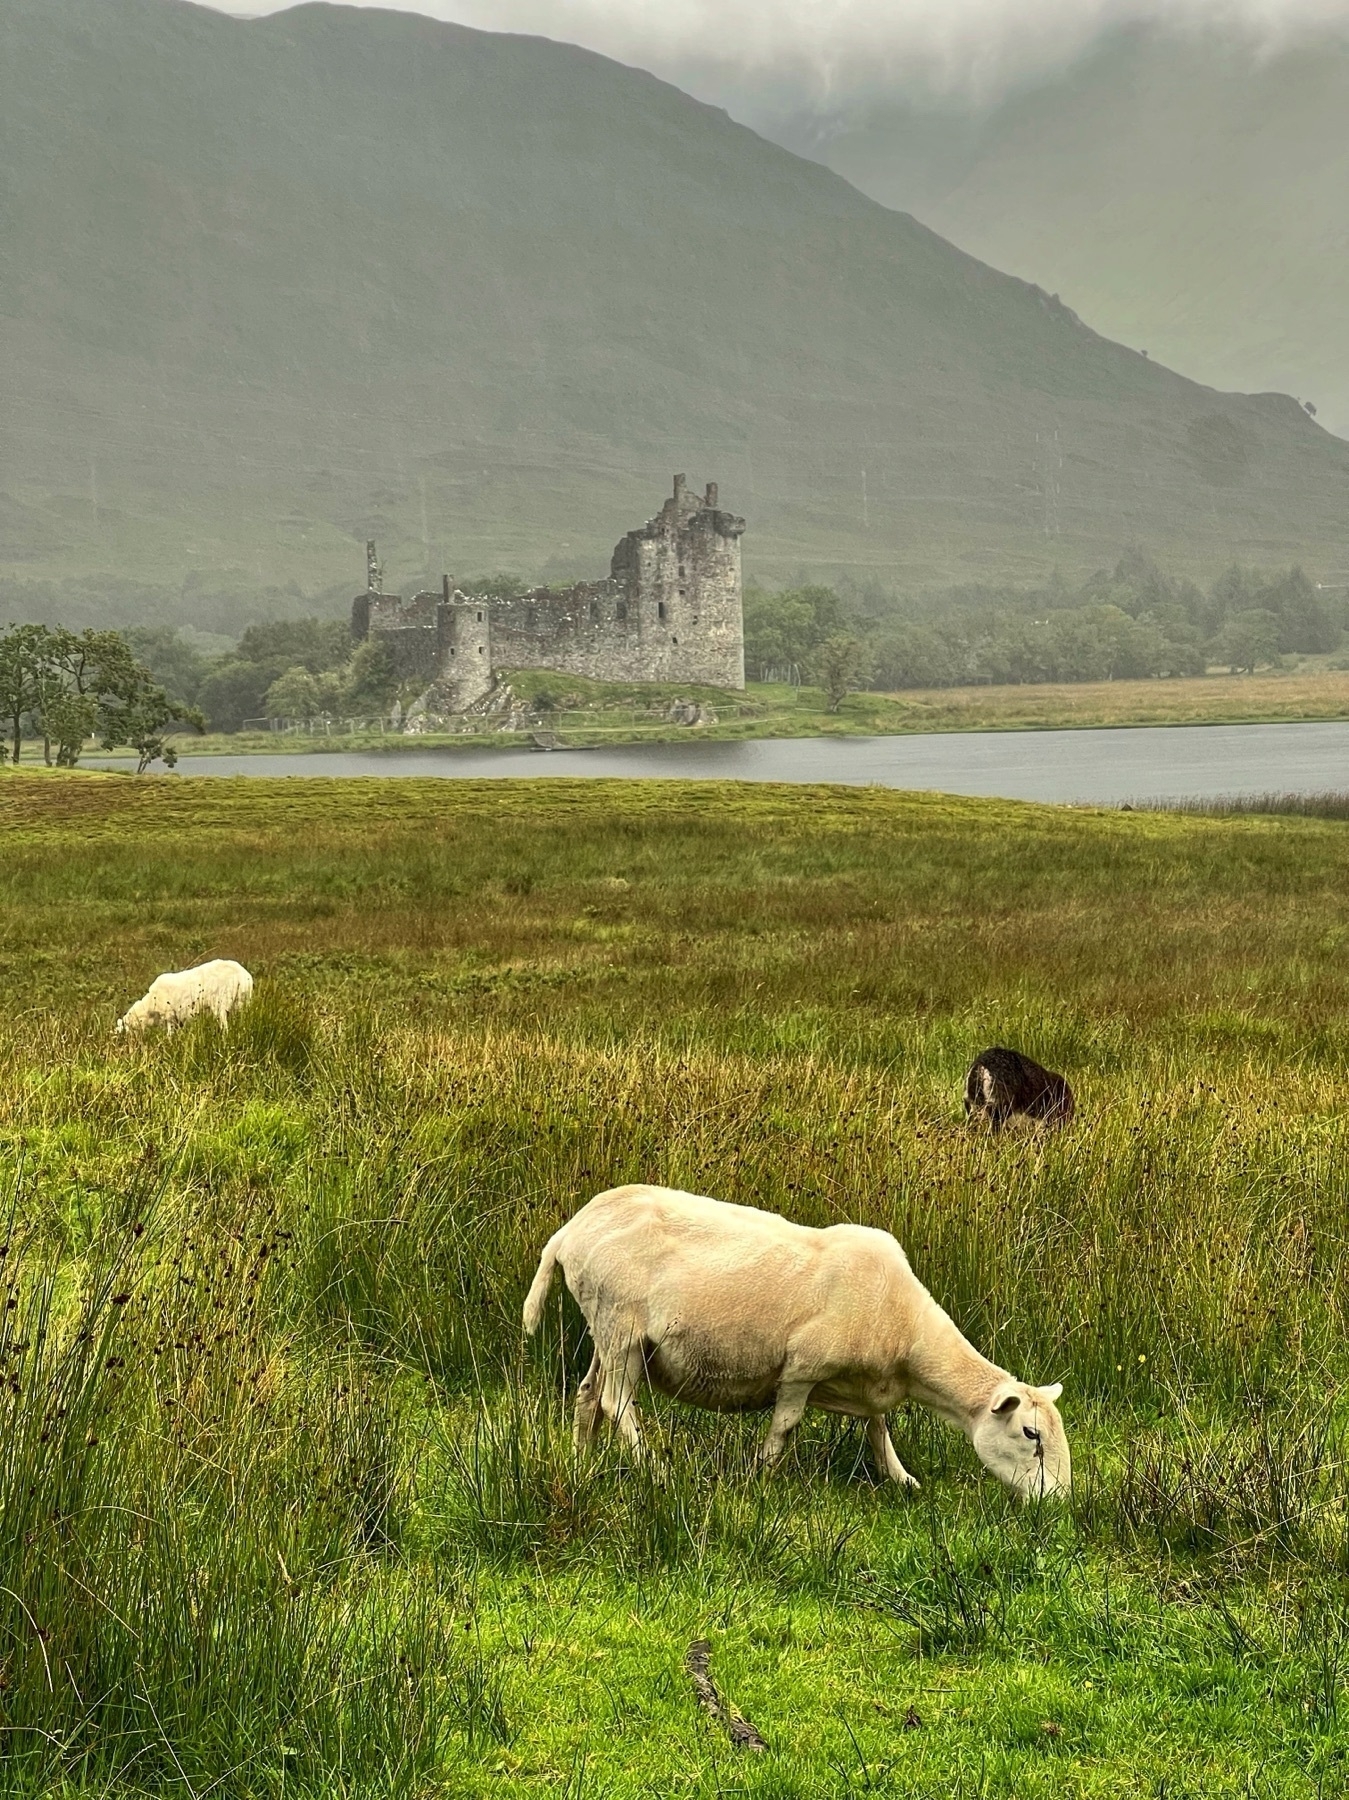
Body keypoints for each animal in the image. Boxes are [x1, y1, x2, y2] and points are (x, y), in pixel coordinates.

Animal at [114, 957, 253, 1044]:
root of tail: (243, 976)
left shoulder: (169, 1014)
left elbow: (170, 1032)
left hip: (221, 1002)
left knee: (224, 1025)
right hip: (242, 1001)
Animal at [522, 1188, 1066, 1497]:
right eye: (1031, 1435)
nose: (1058, 1500)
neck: (907, 1333)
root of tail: (569, 1231)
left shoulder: (863, 1386)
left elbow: (878, 1427)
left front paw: (900, 1478)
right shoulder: (802, 1370)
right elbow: (785, 1426)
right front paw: (760, 1478)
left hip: (605, 1326)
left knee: (589, 1395)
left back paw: (581, 1464)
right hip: (622, 1326)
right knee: (616, 1403)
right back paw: (658, 1473)